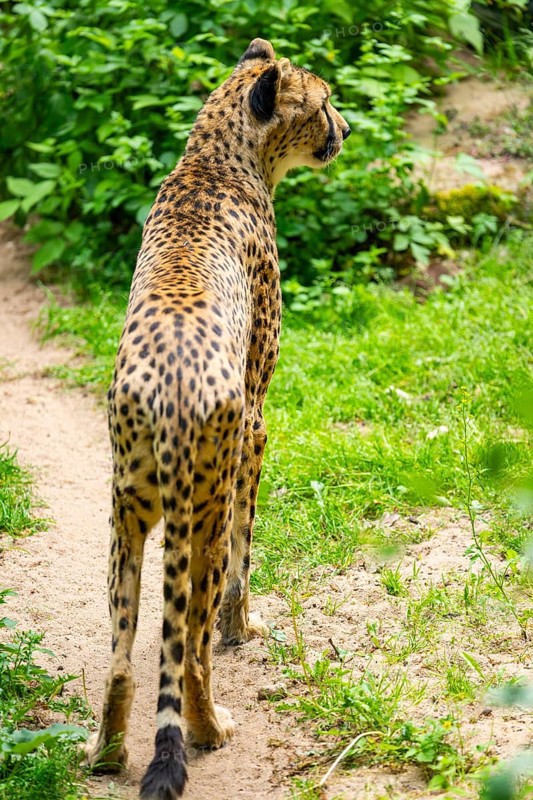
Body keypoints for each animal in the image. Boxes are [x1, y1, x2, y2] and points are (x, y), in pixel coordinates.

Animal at [84, 37, 350, 800]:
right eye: (323, 102)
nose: (345, 131)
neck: (216, 156)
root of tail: (171, 394)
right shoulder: (256, 426)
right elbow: (246, 552)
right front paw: (245, 625)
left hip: (126, 512)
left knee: (123, 657)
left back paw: (105, 754)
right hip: (202, 504)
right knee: (190, 644)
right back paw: (208, 728)